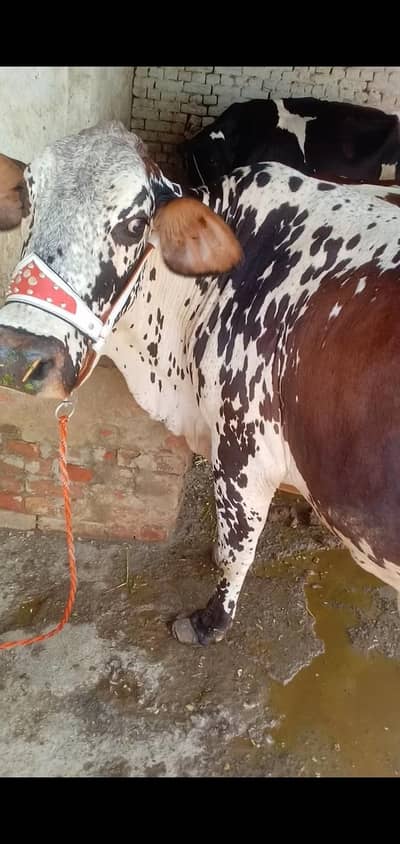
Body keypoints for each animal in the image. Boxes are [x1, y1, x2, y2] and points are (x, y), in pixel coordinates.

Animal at [1, 120, 400, 648]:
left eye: (134, 225)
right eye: (30, 201)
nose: (19, 353)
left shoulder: (243, 449)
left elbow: (237, 544)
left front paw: (211, 621)